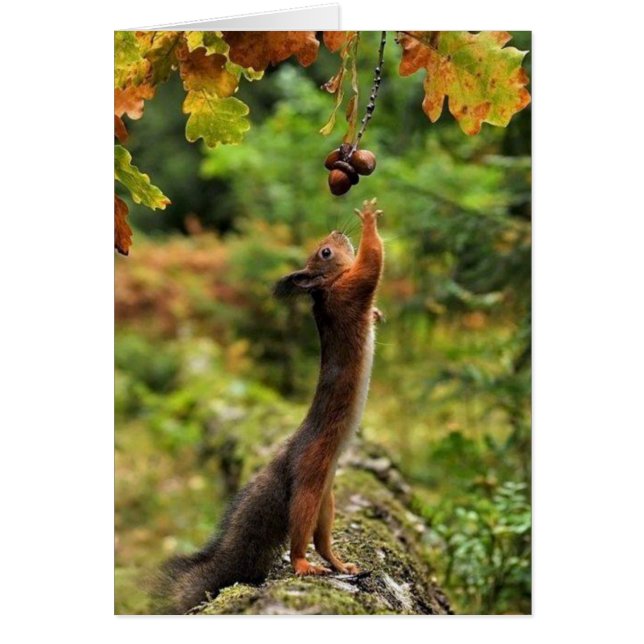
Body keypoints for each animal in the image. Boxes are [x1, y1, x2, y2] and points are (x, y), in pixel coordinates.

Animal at [156, 199, 384, 614]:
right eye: (325, 253)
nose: (337, 232)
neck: (324, 290)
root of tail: (288, 457)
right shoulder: (350, 290)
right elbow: (372, 264)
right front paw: (369, 222)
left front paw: (377, 314)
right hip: (309, 484)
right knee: (299, 537)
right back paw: (303, 565)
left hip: (326, 499)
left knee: (321, 539)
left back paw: (339, 563)